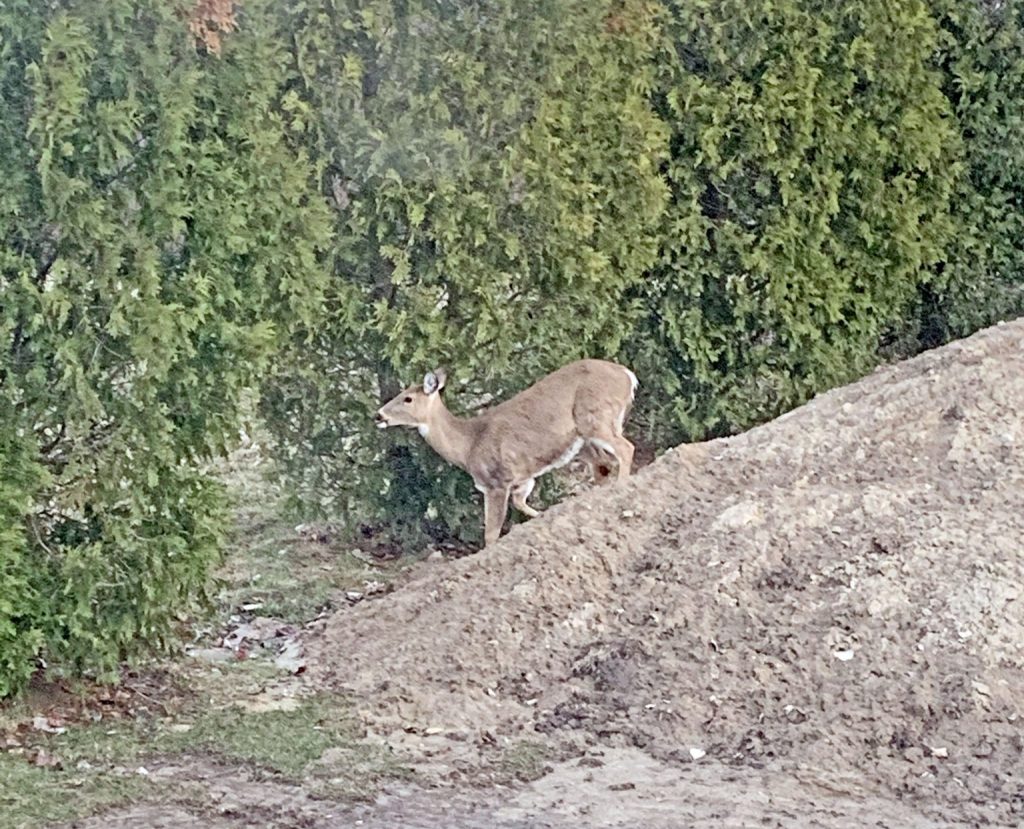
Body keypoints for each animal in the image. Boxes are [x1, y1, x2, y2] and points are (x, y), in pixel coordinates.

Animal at [374, 359, 638, 546]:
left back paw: (621, 489)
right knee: (605, 464)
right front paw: (541, 516)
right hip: (587, 437)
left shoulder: (497, 481)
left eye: (407, 398)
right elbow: (520, 503)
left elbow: (491, 533)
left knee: (626, 449)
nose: (378, 415)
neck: (469, 444)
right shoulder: (522, 478)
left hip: (595, 417)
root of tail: (628, 375)